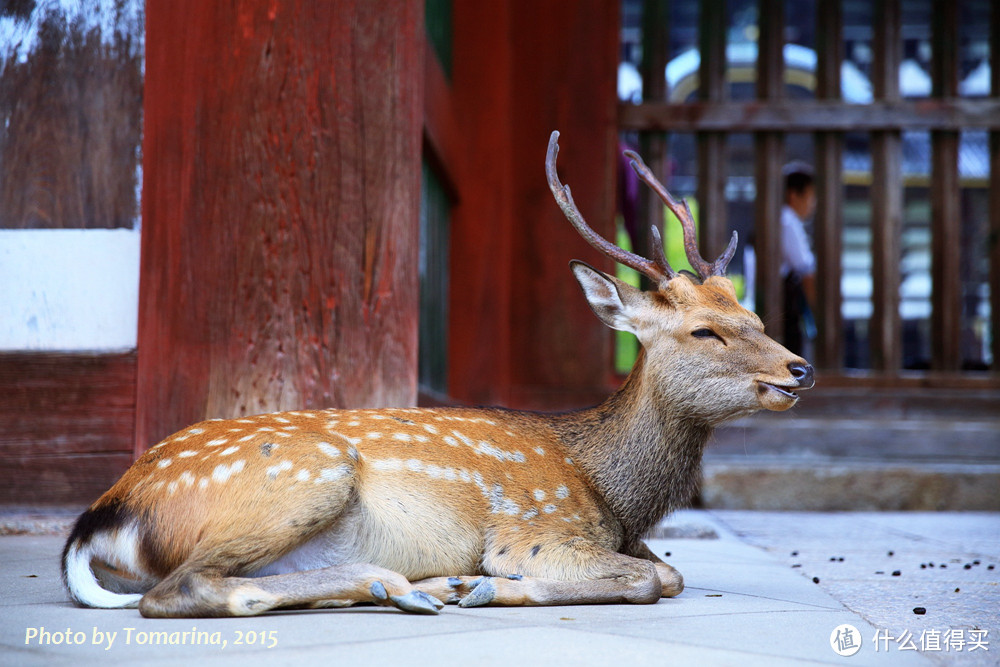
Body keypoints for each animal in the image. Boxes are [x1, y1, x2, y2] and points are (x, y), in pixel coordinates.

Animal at [60, 133, 812, 620]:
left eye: (751, 312)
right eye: (705, 330)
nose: (798, 367)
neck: (610, 493)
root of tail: (106, 516)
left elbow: (668, 569)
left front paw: (469, 586)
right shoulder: (535, 530)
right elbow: (656, 578)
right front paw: (489, 586)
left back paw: (410, 587)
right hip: (307, 473)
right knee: (181, 590)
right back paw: (418, 586)